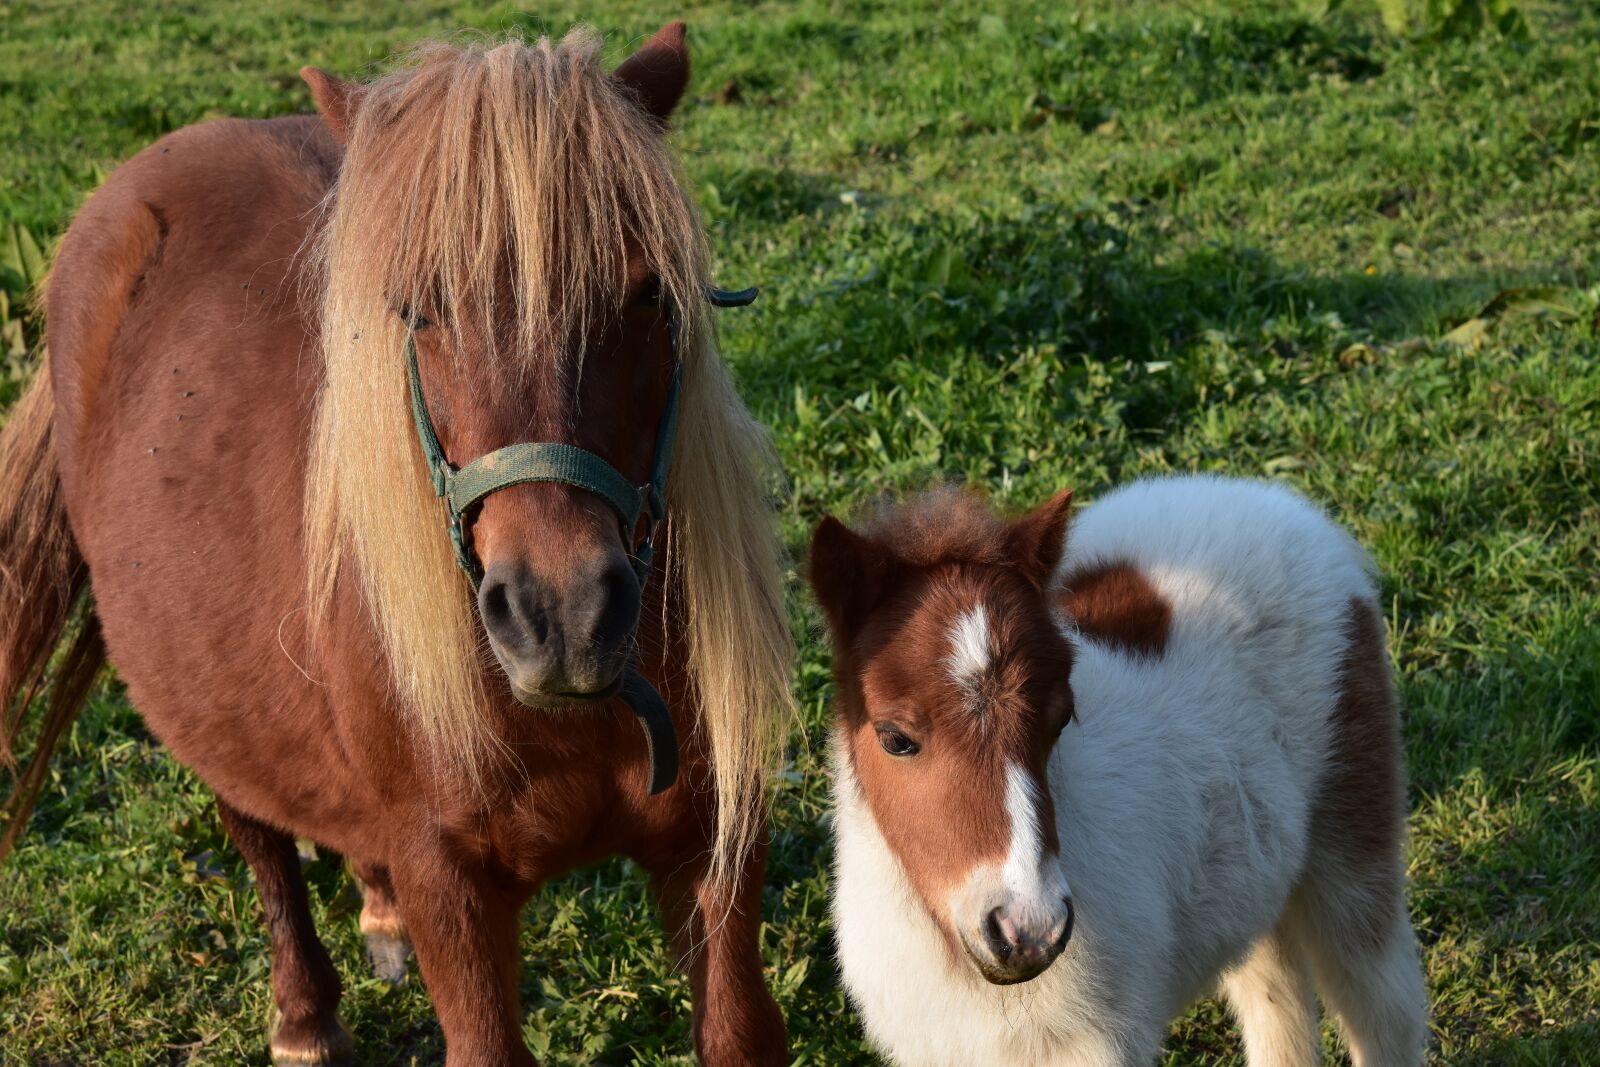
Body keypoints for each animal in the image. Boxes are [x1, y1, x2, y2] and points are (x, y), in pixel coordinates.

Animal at [0, 23, 794, 1067]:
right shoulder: (448, 883)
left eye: (647, 294)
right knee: (254, 825)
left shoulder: (711, 850)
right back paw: (303, 1015)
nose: (564, 616)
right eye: (421, 310)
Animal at [808, 475, 1428, 1066]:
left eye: (1062, 718)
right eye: (894, 738)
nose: (1028, 930)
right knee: (1276, 995)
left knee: (1382, 997)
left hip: (1350, 836)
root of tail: (1281, 504)